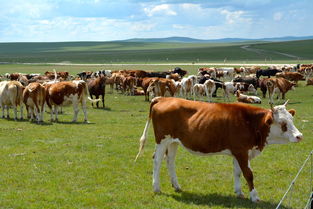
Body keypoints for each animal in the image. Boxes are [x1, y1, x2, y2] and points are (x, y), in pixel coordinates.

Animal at [135, 97, 302, 202]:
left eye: (291, 119)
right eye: (282, 123)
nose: (299, 136)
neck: (250, 122)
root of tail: (163, 98)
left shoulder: (238, 152)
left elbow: (237, 172)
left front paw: (239, 192)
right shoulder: (242, 151)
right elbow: (248, 174)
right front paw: (254, 196)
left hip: (173, 142)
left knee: (170, 161)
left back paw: (176, 186)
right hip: (162, 140)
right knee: (157, 161)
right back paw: (156, 188)